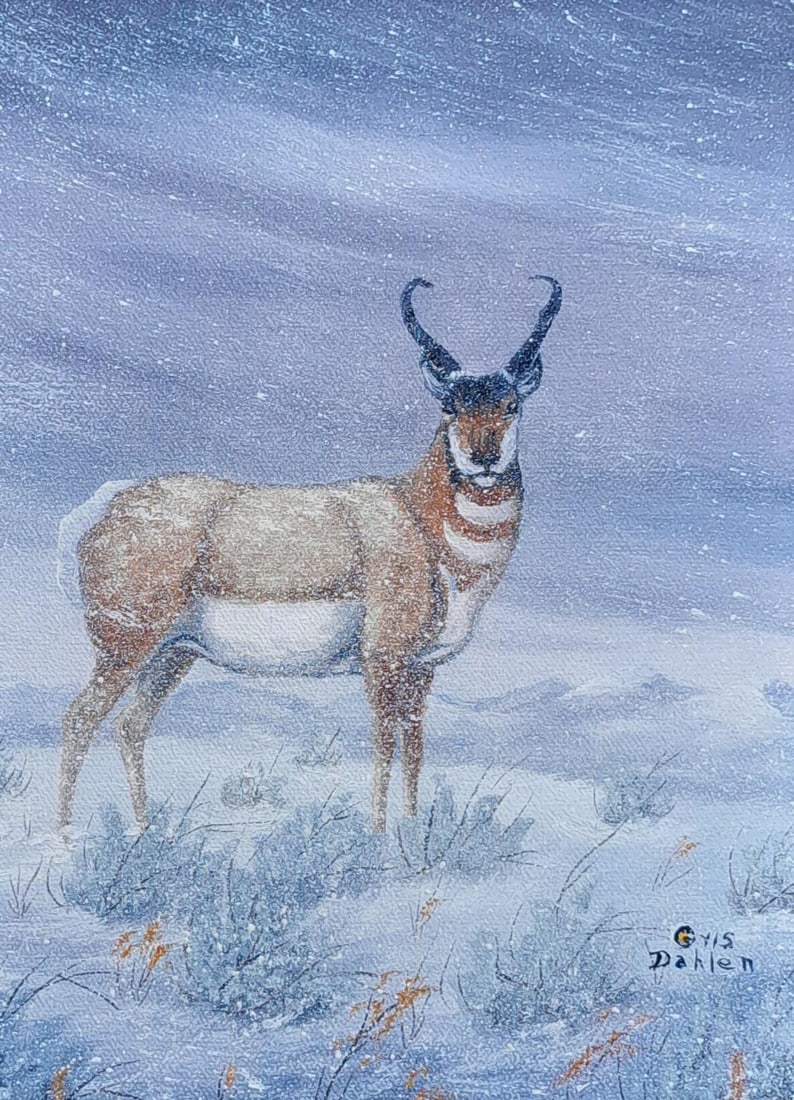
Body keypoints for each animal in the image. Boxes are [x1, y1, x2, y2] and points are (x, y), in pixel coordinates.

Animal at [56, 275, 562, 833]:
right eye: (450, 406)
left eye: (512, 404)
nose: (483, 458)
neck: (416, 517)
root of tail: (108, 504)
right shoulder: (382, 663)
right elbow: (384, 747)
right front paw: (378, 837)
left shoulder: (421, 671)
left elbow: (415, 751)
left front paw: (410, 834)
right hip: (127, 649)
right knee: (79, 718)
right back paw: (63, 837)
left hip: (171, 655)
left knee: (128, 726)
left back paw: (144, 831)